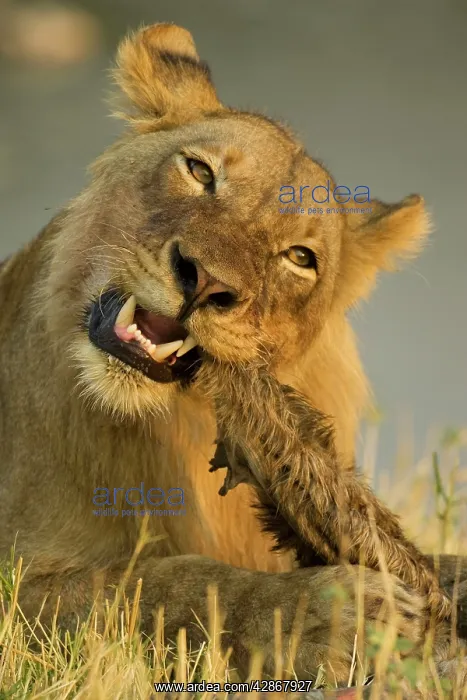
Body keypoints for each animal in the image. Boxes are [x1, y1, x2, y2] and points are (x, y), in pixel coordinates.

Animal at [0, 22, 465, 686]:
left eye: (300, 257)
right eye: (199, 170)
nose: (206, 282)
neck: (170, 425)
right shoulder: (20, 577)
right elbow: (161, 587)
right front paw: (335, 617)